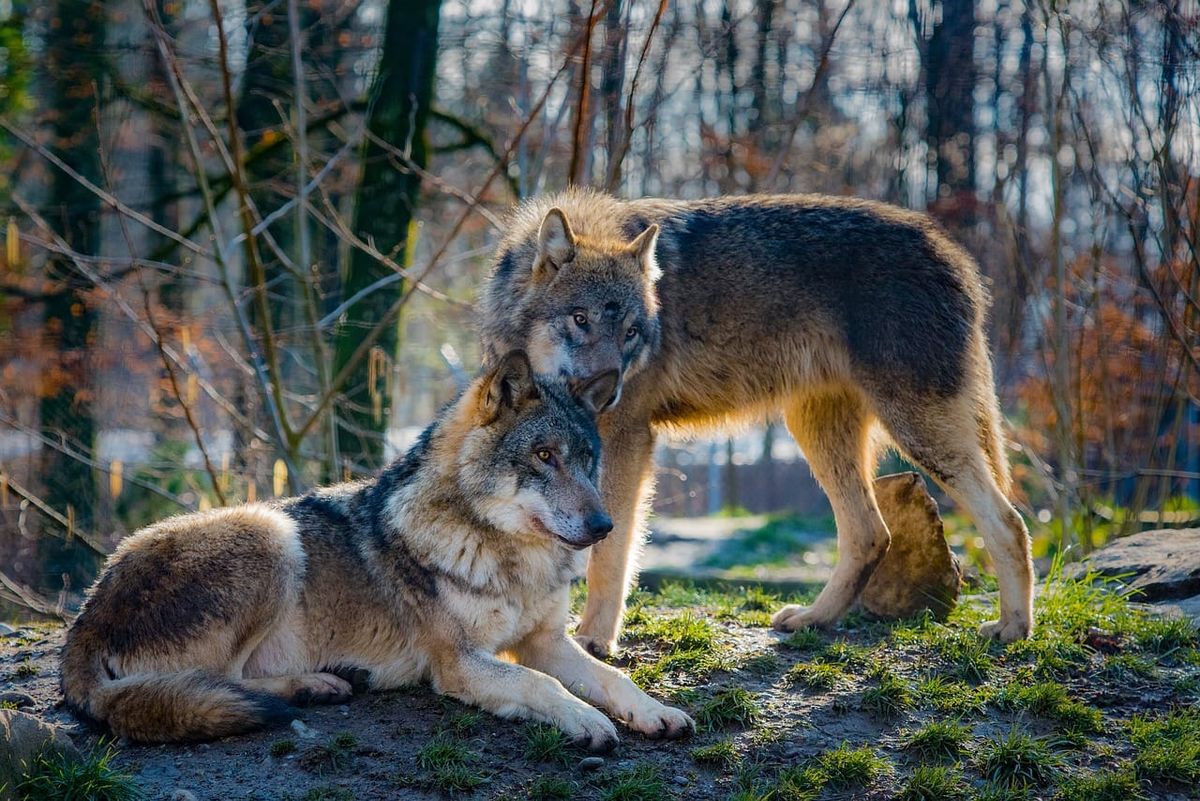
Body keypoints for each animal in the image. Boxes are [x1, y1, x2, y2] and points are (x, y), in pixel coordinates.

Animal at [58, 352, 696, 748]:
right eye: (543, 456)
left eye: (587, 460)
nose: (604, 525)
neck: (509, 558)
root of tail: (85, 616)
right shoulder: (458, 662)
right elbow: (544, 686)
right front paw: (586, 720)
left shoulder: (544, 641)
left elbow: (612, 678)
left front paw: (655, 711)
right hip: (270, 533)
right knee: (219, 682)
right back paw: (315, 685)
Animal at [482, 190, 1036, 652]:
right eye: (581, 319)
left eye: (632, 333)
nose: (609, 390)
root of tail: (957, 255)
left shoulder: (626, 439)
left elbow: (610, 551)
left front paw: (594, 640)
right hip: (818, 433)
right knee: (871, 533)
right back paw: (813, 619)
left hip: (917, 432)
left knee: (1008, 521)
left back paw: (1013, 628)